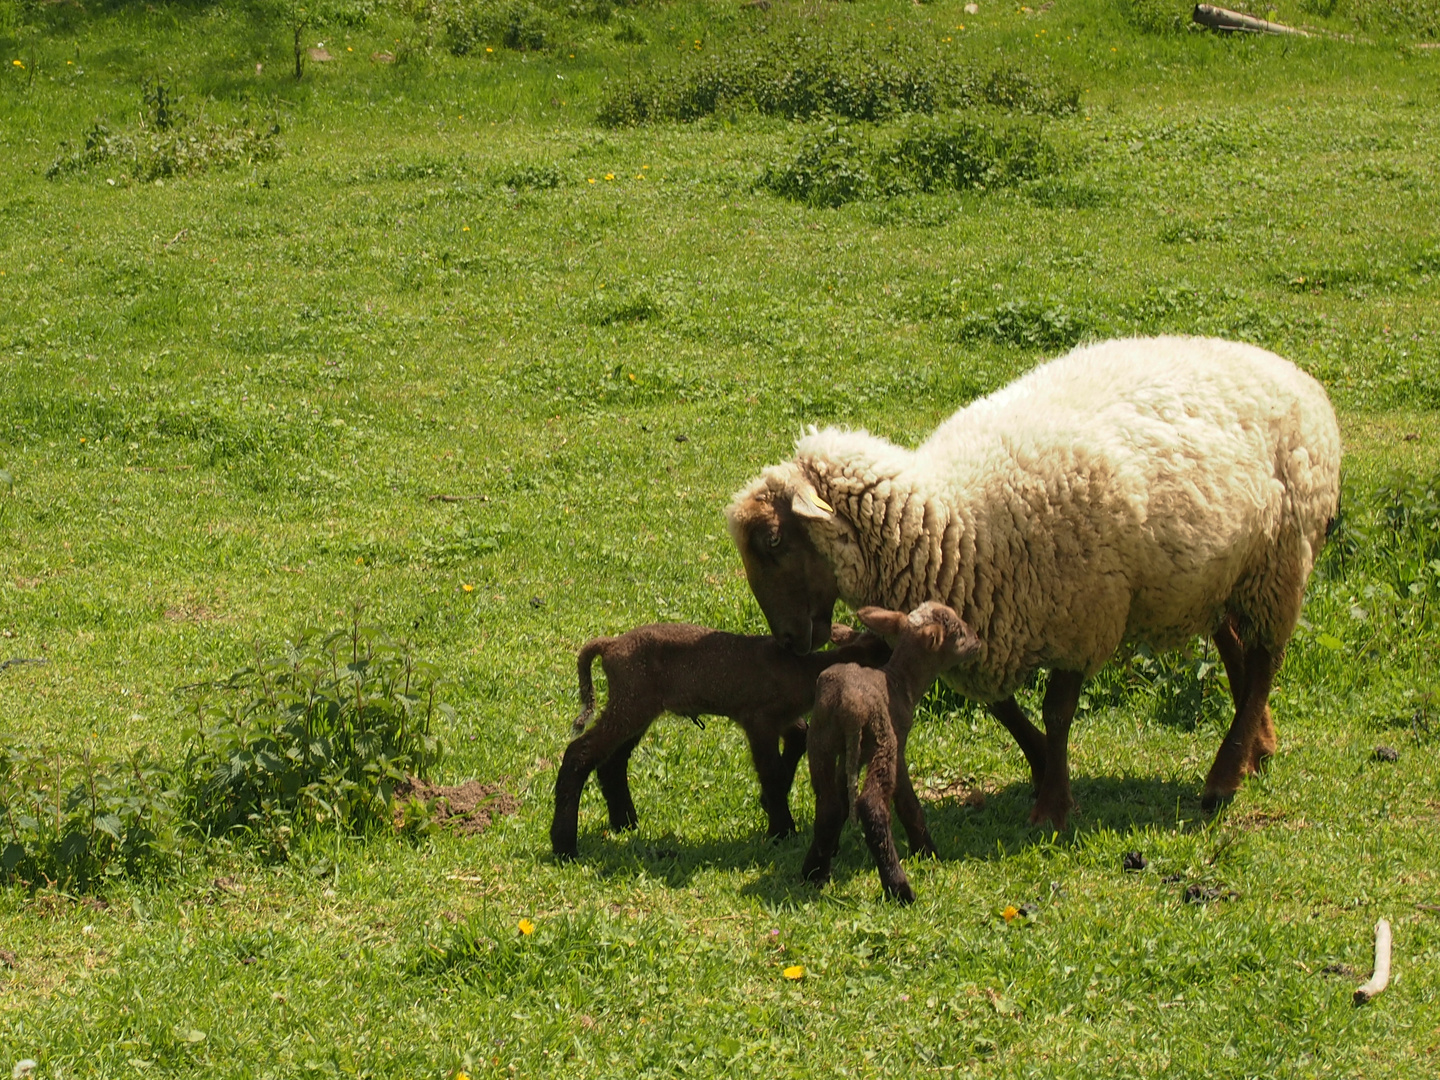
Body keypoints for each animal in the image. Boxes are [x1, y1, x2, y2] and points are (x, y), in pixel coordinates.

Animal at [550, 622, 887, 858]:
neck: (803, 671)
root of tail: (610, 645)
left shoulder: (784, 720)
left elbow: (797, 741)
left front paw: (771, 810)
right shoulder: (758, 719)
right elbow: (772, 774)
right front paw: (781, 830)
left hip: (637, 704)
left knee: (612, 761)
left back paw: (625, 822)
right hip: (631, 699)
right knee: (580, 753)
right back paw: (564, 844)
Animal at [725, 338, 1342, 829]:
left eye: (773, 541)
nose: (786, 643)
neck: (952, 519)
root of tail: (1292, 371)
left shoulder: (1082, 618)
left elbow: (1057, 711)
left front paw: (1052, 805)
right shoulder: (985, 623)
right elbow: (1006, 710)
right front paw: (1046, 768)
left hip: (1280, 561)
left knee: (1263, 662)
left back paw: (1223, 777)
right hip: (1220, 576)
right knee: (1237, 651)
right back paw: (1257, 750)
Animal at [806, 604, 984, 910]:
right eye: (959, 633)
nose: (978, 640)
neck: (900, 681)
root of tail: (849, 706)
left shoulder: (849, 757)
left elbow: (841, 801)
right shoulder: (899, 745)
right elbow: (908, 804)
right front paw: (926, 851)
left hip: (821, 743)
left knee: (828, 804)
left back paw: (814, 872)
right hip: (882, 743)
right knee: (871, 805)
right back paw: (900, 889)